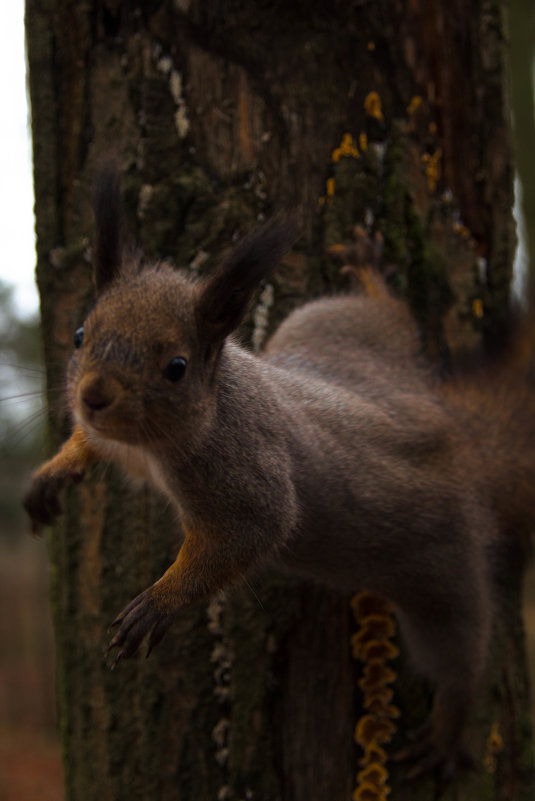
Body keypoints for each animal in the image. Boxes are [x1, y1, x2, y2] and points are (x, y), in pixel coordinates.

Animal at [23, 166, 535, 784]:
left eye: (176, 367)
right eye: (80, 334)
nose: (93, 396)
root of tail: (454, 433)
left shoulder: (244, 470)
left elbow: (253, 531)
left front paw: (160, 601)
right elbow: (97, 446)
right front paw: (56, 470)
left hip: (447, 577)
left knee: (461, 658)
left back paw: (447, 727)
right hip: (326, 330)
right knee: (383, 317)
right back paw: (368, 275)